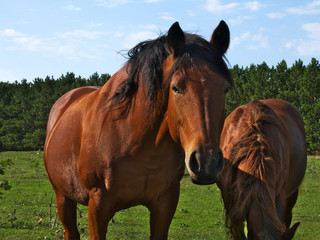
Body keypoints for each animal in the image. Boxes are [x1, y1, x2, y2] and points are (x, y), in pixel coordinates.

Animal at [43, 21, 231, 240]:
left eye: (225, 89)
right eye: (176, 88)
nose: (207, 163)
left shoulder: (165, 203)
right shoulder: (97, 206)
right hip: (63, 197)